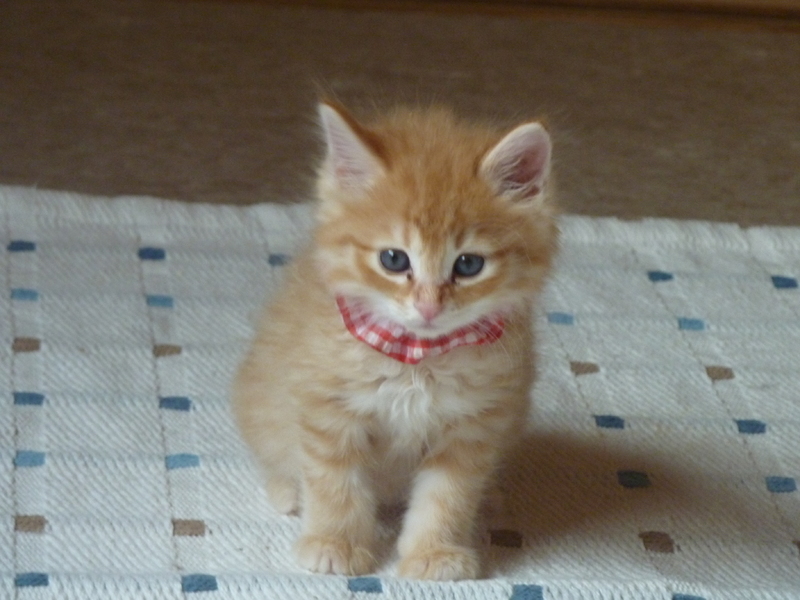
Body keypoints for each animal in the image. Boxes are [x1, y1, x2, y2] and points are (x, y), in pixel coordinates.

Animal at [232, 100, 558, 581]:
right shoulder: (329, 410)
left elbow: (448, 496)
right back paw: (287, 491)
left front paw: (435, 553)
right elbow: (334, 482)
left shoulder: (473, 426)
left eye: (469, 265)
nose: (428, 308)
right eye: (393, 259)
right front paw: (335, 544)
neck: (417, 359)